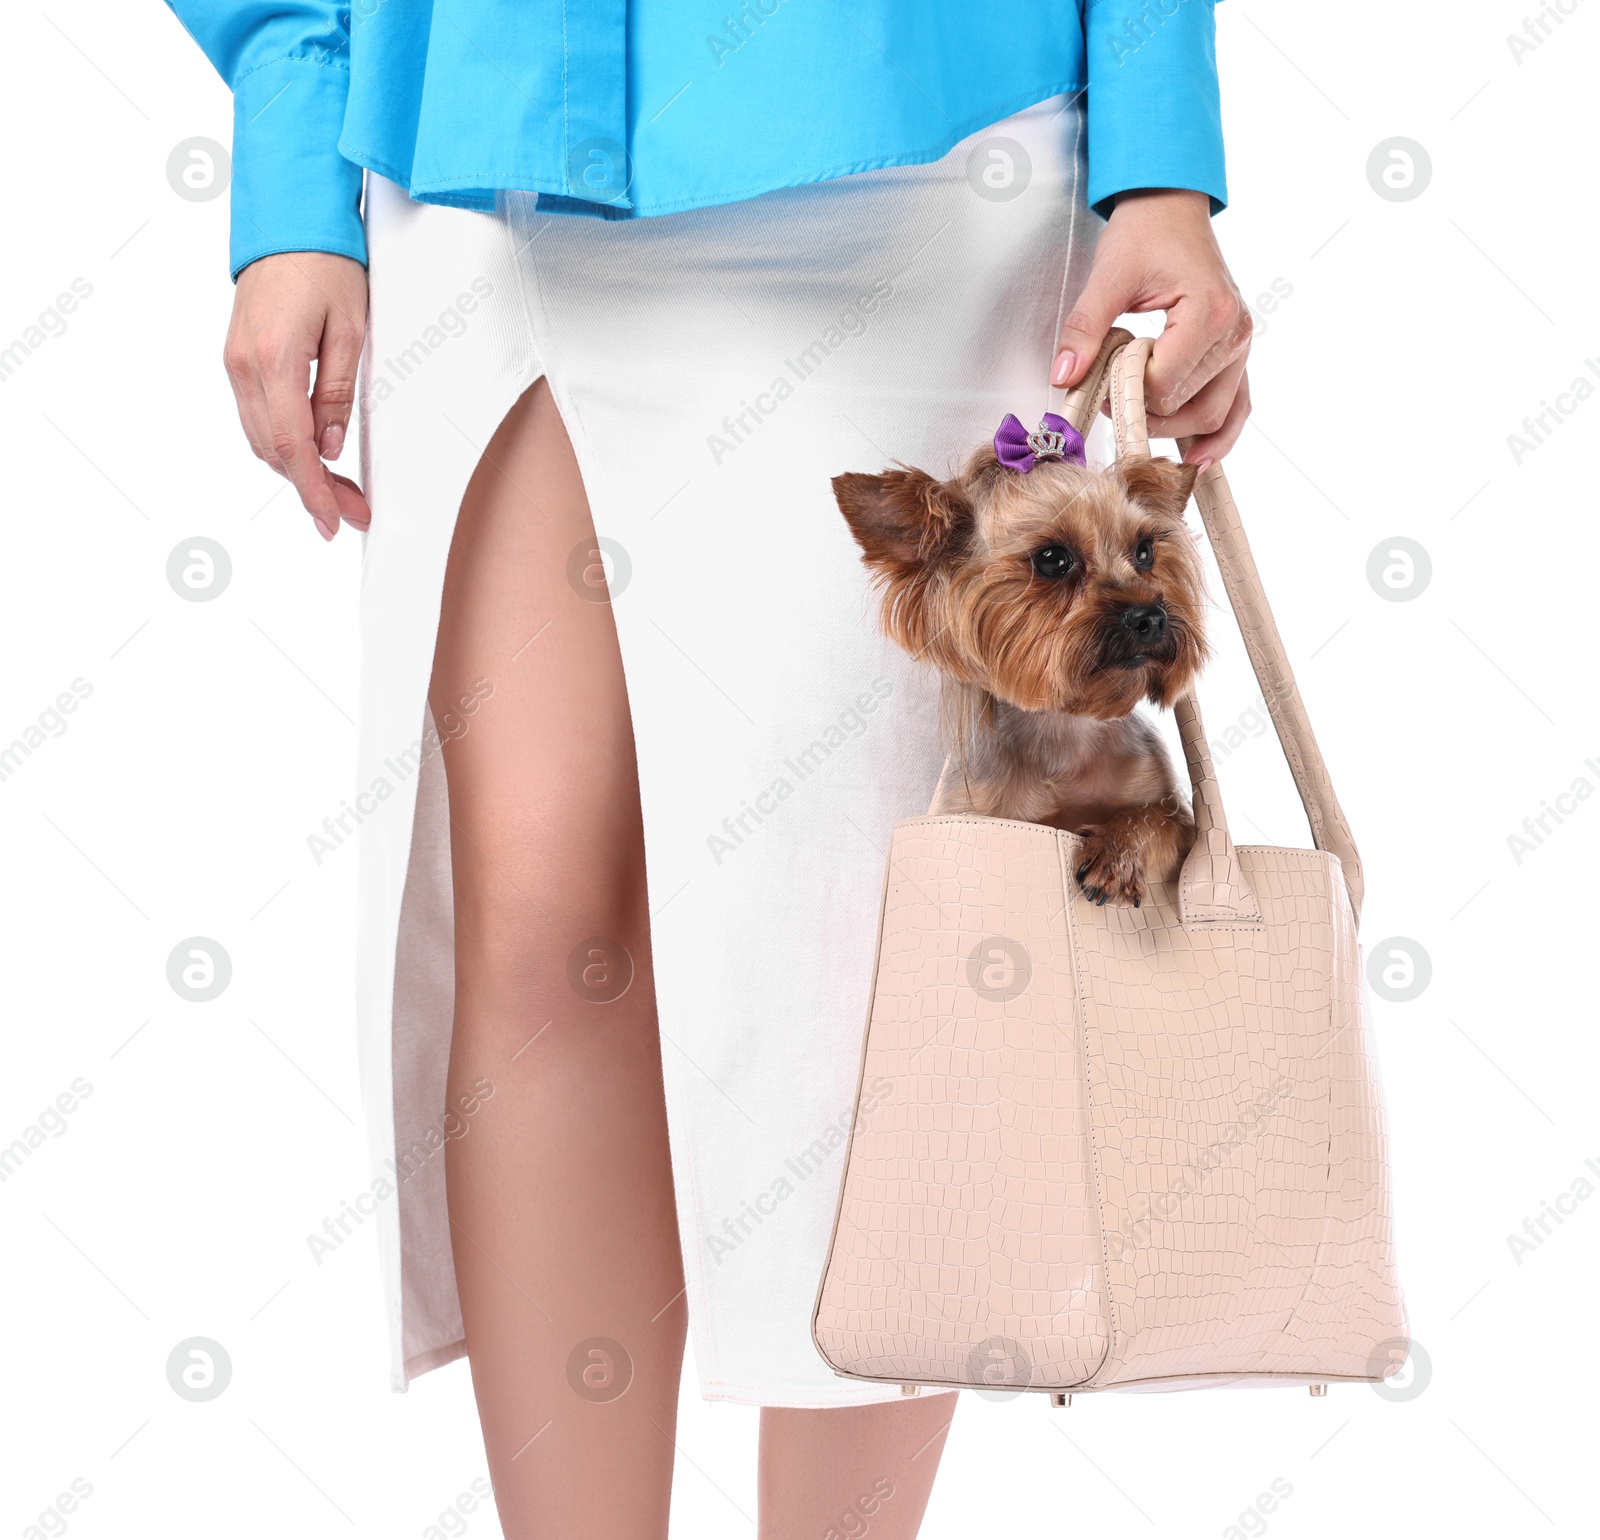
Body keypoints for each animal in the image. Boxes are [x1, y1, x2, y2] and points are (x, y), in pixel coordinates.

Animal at [838, 413, 1203, 909]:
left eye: (1145, 551)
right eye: (1053, 559)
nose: (1151, 616)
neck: (1065, 730)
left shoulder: (1176, 815)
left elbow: (1155, 820)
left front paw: (1116, 854)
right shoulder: (977, 815)